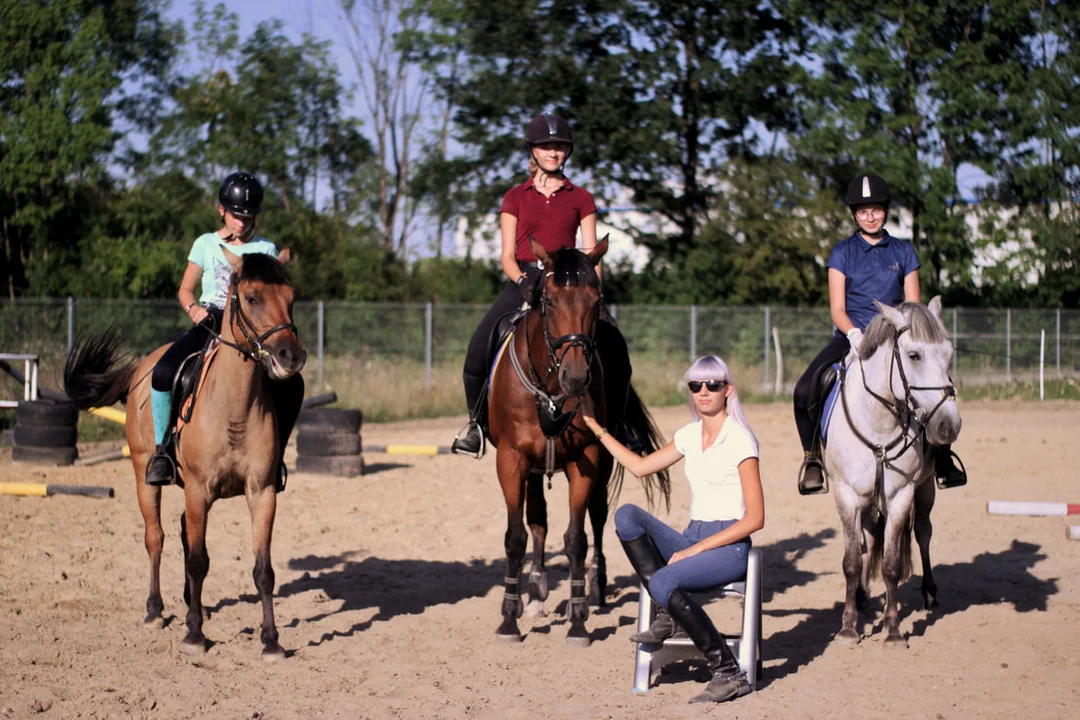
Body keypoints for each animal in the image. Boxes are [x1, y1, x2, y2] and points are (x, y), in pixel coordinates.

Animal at [63, 248, 304, 660]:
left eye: (290, 298)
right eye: (252, 298)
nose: (291, 356)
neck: (233, 408)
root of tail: (141, 369)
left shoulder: (262, 491)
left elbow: (263, 569)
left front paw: (271, 640)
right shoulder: (198, 489)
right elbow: (197, 560)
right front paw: (194, 635)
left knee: (179, 531)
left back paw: (196, 604)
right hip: (145, 474)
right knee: (156, 537)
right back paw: (155, 610)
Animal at [488, 237, 665, 647]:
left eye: (595, 300)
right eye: (549, 300)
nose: (576, 378)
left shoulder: (585, 459)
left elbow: (576, 539)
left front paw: (579, 619)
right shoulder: (511, 460)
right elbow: (516, 536)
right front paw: (509, 619)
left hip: (605, 460)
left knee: (597, 517)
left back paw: (595, 589)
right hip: (533, 468)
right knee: (537, 521)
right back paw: (535, 593)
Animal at [825, 297, 963, 647]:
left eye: (948, 353)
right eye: (914, 355)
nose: (949, 425)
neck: (878, 423)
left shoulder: (901, 495)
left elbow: (891, 564)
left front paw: (893, 629)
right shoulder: (846, 494)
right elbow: (851, 561)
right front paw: (848, 627)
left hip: (925, 489)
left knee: (923, 533)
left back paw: (928, 594)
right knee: (868, 540)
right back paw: (862, 598)